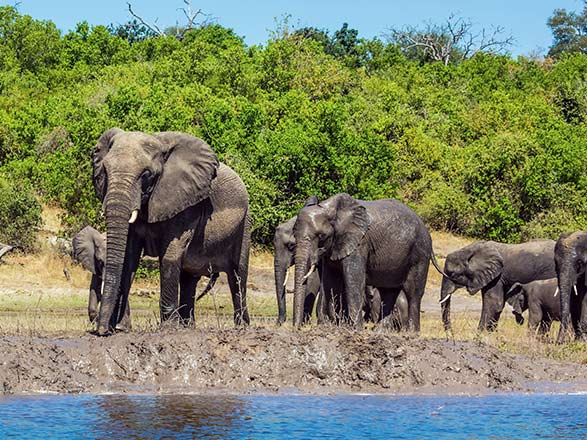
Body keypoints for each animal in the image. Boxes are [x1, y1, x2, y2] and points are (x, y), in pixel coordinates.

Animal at [92, 129, 250, 336]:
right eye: (105, 171)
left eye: (146, 174)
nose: (102, 330)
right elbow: (128, 257)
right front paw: (120, 328)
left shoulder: (185, 203)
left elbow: (170, 255)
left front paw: (167, 329)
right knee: (189, 278)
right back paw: (188, 327)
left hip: (245, 223)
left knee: (238, 275)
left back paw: (242, 327)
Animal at [292, 192, 432, 330]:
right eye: (294, 235)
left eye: (321, 236)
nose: (297, 328)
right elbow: (330, 281)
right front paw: (327, 326)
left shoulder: (359, 242)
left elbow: (353, 279)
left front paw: (354, 329)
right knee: (388, 291)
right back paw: (380, 331)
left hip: (420, 252)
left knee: (413, 292)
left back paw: (411, 332)